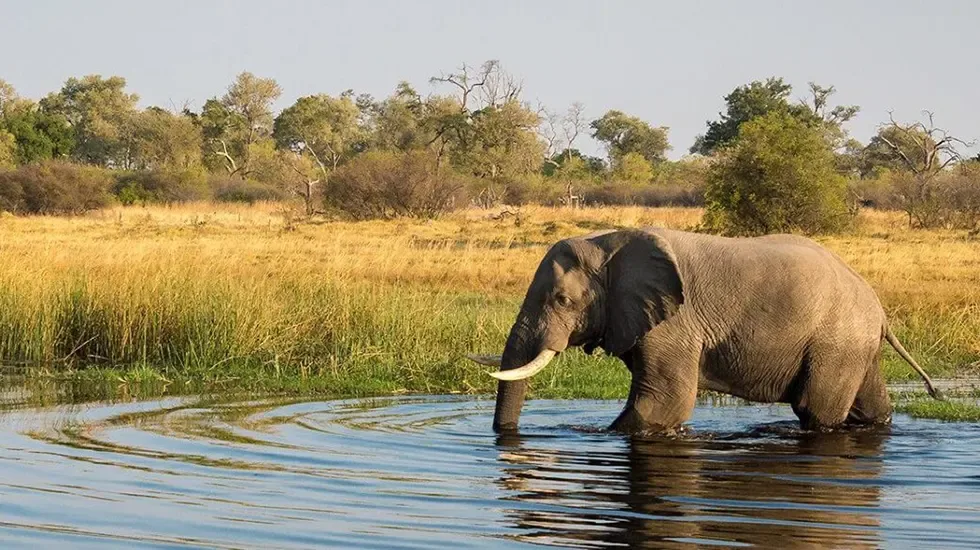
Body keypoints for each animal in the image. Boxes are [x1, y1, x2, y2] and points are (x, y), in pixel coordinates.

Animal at [468, 227, 941, 434]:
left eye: (562, 301)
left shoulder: (677, 323)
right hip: (852, 344)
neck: (607, 243)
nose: (508, 438)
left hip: (836, 341)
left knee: (816, 411)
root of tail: (878, 307)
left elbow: (663, 403)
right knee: (870, 408)